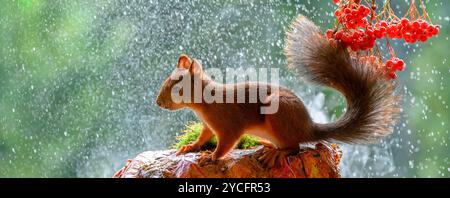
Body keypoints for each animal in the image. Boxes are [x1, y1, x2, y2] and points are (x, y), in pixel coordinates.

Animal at [156, 15, 400, 162]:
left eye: (176, 86)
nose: (157, 102)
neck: (205, 103)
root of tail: (308, 128)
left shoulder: (229, 125)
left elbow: (226, 143)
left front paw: (211, 157)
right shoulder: (208, 125)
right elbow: (204, 137)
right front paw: (191, 147)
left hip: (279, 113)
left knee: (295, 147)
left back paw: (276, 154)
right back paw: (267, 145)